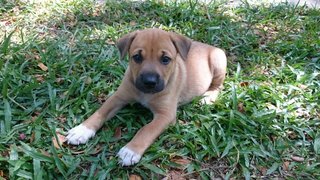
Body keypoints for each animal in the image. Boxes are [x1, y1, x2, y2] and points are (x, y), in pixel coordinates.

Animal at [67, 27, 228, 166]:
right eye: (137, 57)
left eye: (165, 59)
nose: (149, 82)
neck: (146, 93)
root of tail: (209, 46)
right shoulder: (118, 97)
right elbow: (100, 112)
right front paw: (82, 130)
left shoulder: (165, 115)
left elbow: (146, 129)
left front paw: (131, 150)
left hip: (218, 60)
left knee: (218, 85)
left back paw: (208, 97)